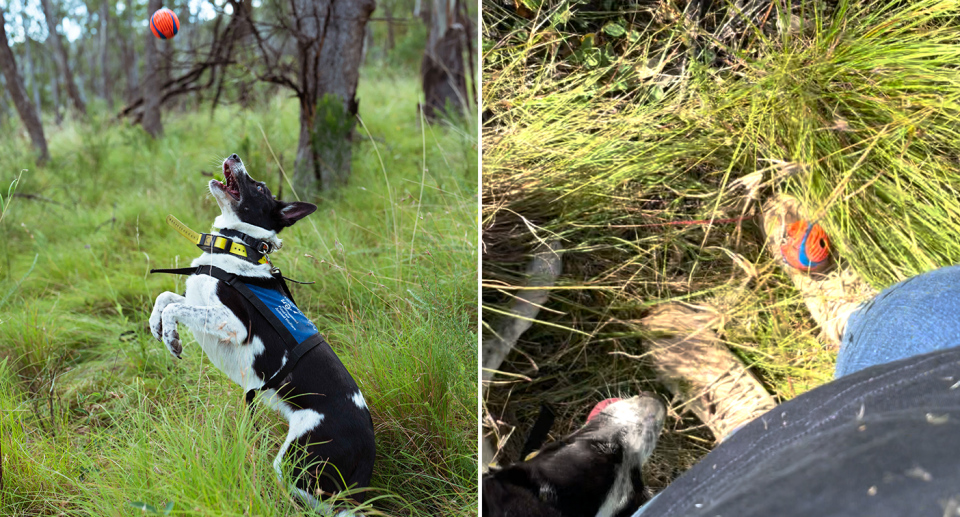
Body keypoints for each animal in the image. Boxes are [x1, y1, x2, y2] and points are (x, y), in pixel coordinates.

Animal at [149, 153, 376, 512]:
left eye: (259, 187)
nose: (234, 156)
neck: (237, 247)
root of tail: (368, 450)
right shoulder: (198, 302)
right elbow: (166, 298)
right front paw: (156, 325)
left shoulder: (233, 323)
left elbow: (175, 307)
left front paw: (172, 337)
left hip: (297, 464)